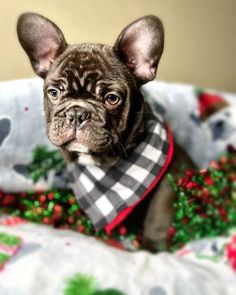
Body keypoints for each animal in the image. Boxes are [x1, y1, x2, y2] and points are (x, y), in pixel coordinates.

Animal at [16, 12, 194, 251]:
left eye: (112, 98)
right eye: (54, 93)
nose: (77, 113)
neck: (104, 164)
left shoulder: (168, 181)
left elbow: (158, 216)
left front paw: (152, 248)